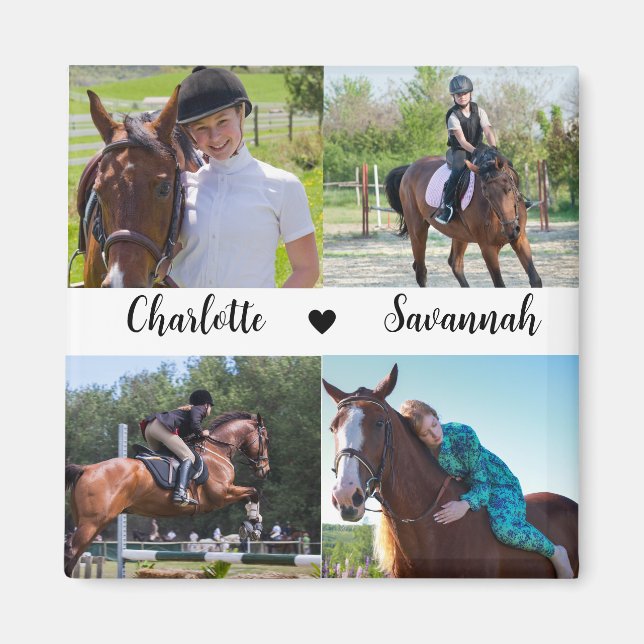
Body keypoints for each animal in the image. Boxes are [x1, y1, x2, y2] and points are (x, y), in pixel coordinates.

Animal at [64, 411, 270, 577]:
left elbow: (251, 494)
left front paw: (253, 522)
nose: (264, 470)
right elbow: (253, 492)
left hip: (92, 523)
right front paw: (253, 525)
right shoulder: (221, 495)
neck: (217, 451)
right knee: (71, 552)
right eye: (266, 440)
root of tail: (86, 469)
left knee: (74, 554)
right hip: (92, 523)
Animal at [384, 146, 542, 288]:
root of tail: (410, 168)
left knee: (455, 264)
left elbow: (535, 280)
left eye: (509, 189)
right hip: (417, 231)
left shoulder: (520, 239)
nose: (511, 230)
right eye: (486, 195)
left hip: (460, 235)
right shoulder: (487, 248)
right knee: (421, 271)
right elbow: (499, 284)